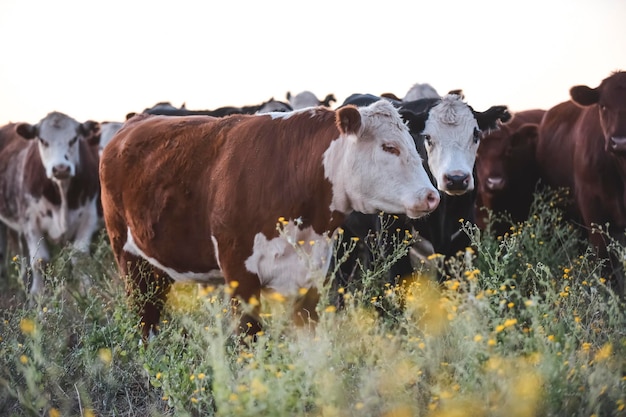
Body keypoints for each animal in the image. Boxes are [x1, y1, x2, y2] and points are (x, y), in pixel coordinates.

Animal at [0, 110, 101, 292]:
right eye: (43, 140)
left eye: (74, 138)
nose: (61, 168)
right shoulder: (30, 223)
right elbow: (40, 261)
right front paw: (38, 294)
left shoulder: (88, 218)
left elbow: (80, 258)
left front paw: (87, 289)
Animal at [98, 101, 438, 342]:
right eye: (389, 147)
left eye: (415, 145)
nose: (432, 195)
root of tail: (132, 125)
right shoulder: (240, 274)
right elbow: (249, 339)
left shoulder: (310, 277)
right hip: (129, 258)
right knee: (145, 317)